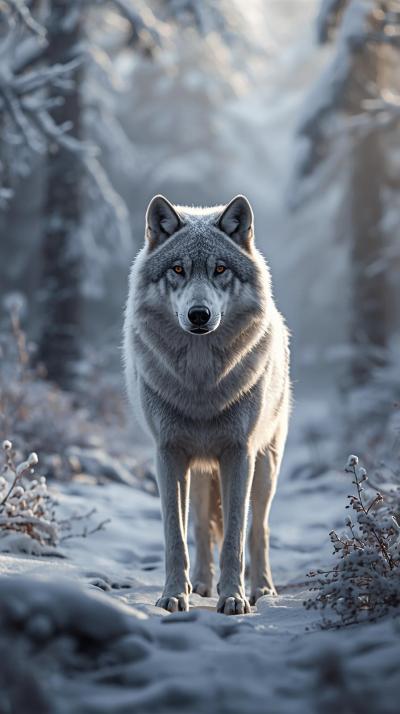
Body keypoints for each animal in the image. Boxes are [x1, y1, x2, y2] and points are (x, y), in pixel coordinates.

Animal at [123, 194, 290, 615]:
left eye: (219, 269)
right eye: (178, 269)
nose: (199, 315)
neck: (201, 386)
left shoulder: (239, 454)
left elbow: (234, 537)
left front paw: (233, 598)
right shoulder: (167, 454)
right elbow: (175, 535)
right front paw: (173, 595)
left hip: (266, 466)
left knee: (259, 529)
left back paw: (262, 589)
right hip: (198, 471)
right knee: (199, 526)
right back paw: (199, 584)